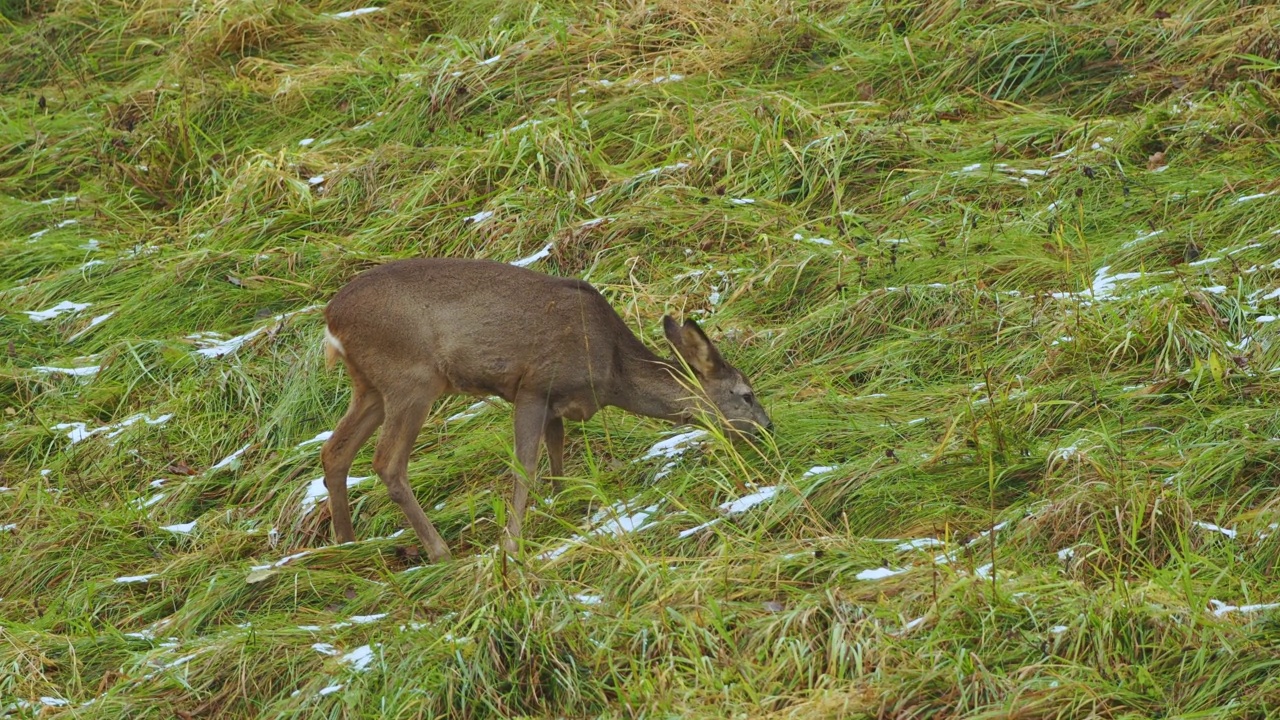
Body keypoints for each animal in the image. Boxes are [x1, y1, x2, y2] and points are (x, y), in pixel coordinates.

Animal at [318, 257, 768, 561]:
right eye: (746, 394)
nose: (769, 427)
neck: (611, 368)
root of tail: (331, 319)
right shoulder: (533, 386)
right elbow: (525, 468)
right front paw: (511, 545)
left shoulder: (556, 404)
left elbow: (556, 459)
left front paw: (564, 508)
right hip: (411, 378)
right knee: (387, 462)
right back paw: (439, 550)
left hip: (370, 387)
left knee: (334, 451)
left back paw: (346, 543)